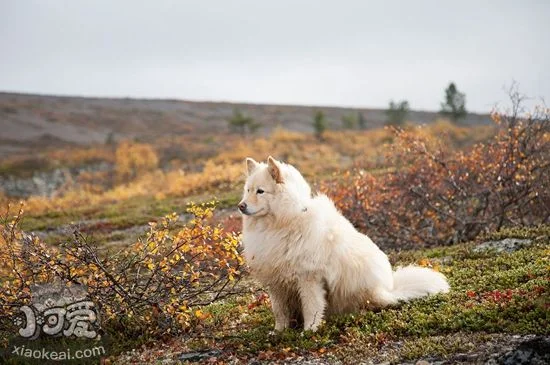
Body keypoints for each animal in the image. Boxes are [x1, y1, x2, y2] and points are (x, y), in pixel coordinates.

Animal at [239, 155, 450, 332]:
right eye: (248, 190)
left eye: (260, 191)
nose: (241, 206)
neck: (283, 223)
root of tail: (389, 289)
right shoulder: (276, 281)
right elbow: (279, 311)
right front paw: (279, 332)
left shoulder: (309, 278)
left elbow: (312, 308)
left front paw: (309, 332)